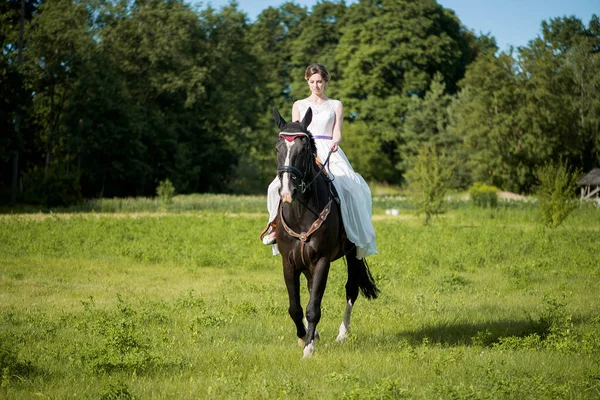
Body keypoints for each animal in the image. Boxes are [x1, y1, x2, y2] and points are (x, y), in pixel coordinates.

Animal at [274, 108, 380, 358]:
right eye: (277, 148)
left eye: (303, 149)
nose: (287, 191)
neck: (301, 211)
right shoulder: (289, 262)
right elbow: (295, 307)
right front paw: (304, 336)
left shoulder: (322, 260)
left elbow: (313, 306)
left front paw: (309, 348)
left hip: (353, 253)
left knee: (351, 289)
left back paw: (342, 334)